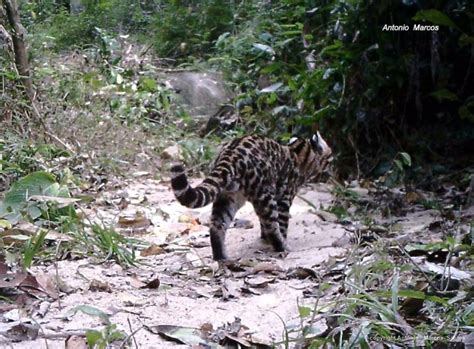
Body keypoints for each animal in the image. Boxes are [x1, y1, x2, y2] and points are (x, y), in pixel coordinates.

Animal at [171, 132, 334, 260]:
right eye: (330, 154)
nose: (334, 160)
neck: (301, 153)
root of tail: (230, 154)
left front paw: (263, 239)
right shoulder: (284, 199)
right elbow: (280, 224)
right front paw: (277, 239)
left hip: (228, 197)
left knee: (217, 226)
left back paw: (221, 257)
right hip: (264, 195)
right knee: (272, 226)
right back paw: (282, 247)